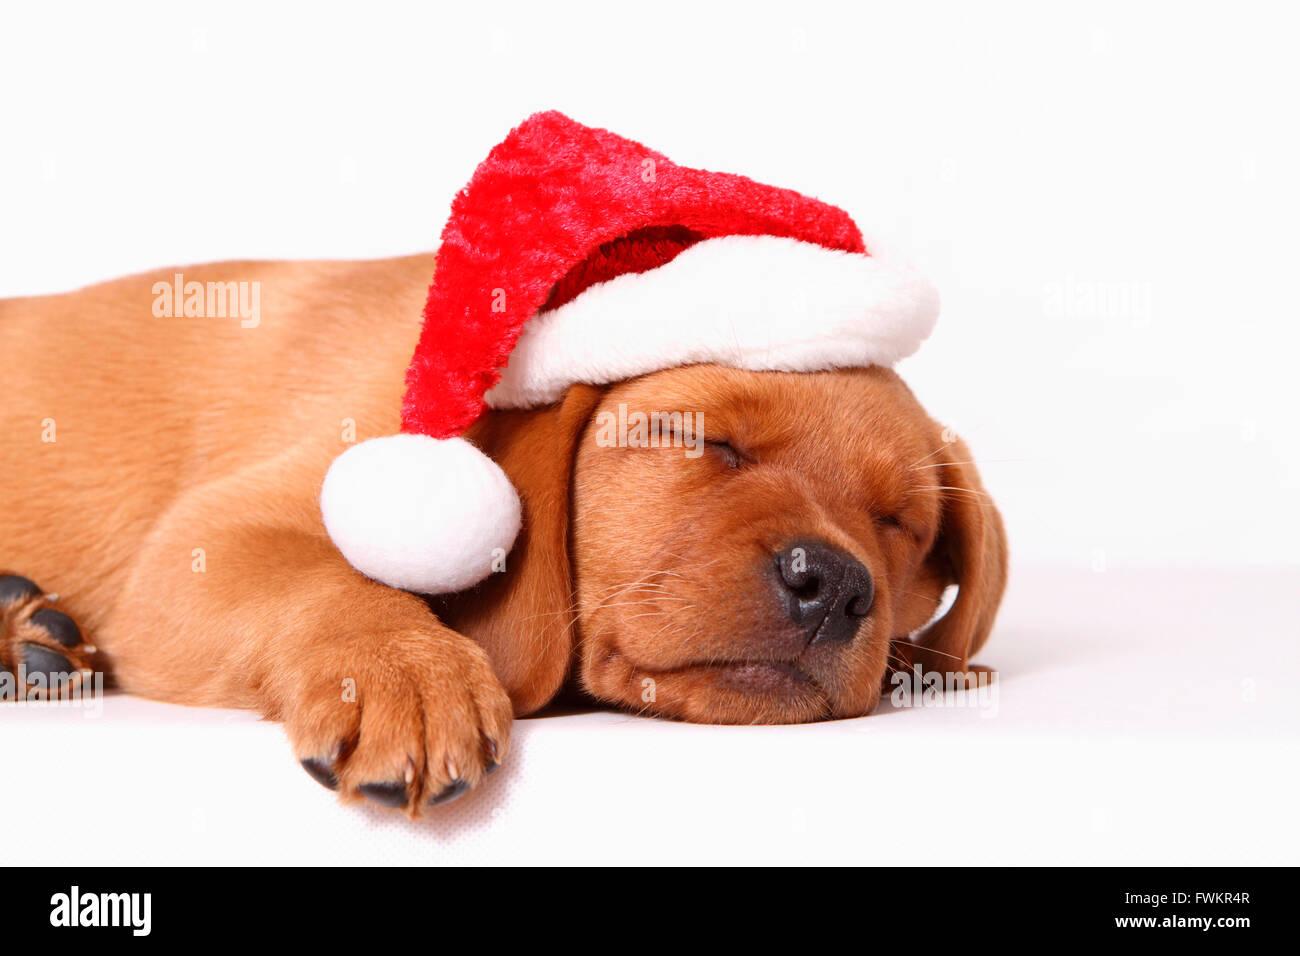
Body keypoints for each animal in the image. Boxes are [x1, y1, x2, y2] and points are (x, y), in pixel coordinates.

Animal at [0, 248, 1008, 816]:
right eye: (705, 440)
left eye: (901, 522)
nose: (834, 584)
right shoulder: (203, 545)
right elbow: (326, 582)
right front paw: (404, 673)